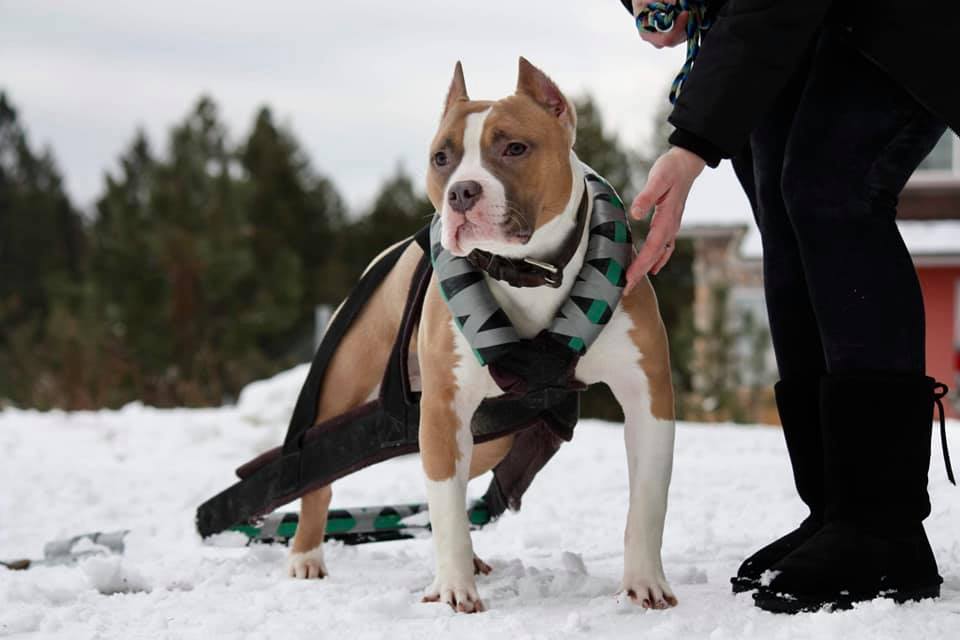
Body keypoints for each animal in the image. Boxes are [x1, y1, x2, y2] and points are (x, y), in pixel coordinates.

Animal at [284, 60, 676, 616]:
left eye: (514, 148)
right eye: (441, 157)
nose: (461, 192)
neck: (529, 271)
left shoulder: (648, 397)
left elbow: (646, 499)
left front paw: (644, 584)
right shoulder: (443, 409)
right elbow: (445, 507)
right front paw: (453, 589)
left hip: (493, 433)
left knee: (455, 480)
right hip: (344, 385)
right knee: (318, 472)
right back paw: (305, 555)